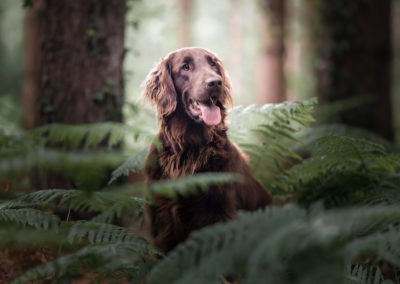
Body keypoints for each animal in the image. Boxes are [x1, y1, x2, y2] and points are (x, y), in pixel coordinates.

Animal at [142, 47, 270, 253]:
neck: (189, 148)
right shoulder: (162, 220)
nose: (216, 82)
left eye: (213, 64)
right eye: (185, 67)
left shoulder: (218, 214)